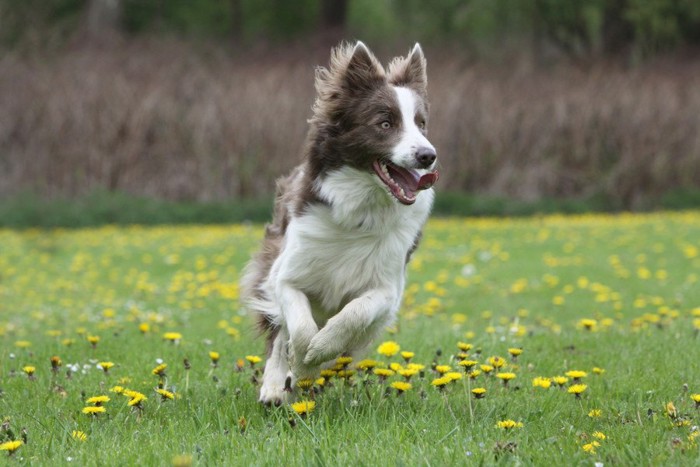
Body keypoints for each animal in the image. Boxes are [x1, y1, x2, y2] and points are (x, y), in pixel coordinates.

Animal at [241, 41, 438, 406]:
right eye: (385, 123)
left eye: (421, 124)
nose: (428, 156)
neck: (362, 209)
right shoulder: (284, 275)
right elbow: (298, 327)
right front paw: (302, 359)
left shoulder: (388, 288)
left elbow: (356, 312)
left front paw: (319, 351)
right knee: (279, 335)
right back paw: (275, 387)